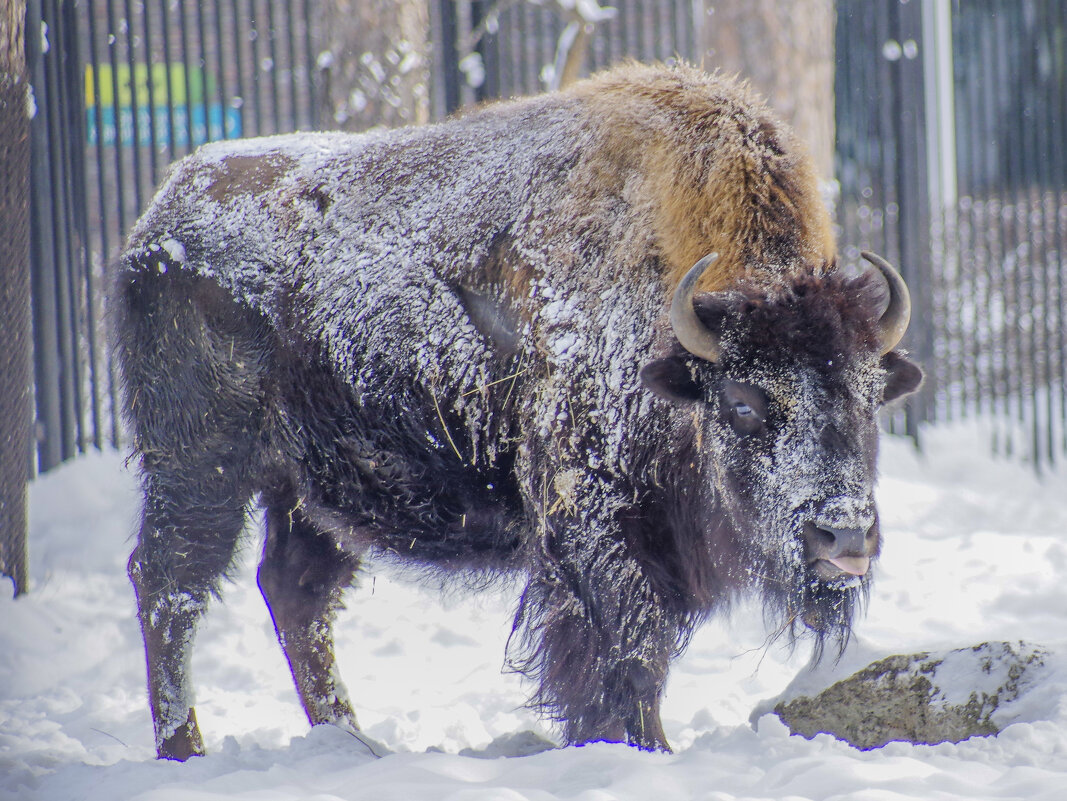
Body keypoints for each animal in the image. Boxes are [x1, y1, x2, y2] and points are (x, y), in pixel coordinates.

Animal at [112, 61, 921, 759]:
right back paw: (186, 749)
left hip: (309, 489)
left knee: (295, 594)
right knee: (171, 586)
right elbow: (628, 652)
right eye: (745, 402)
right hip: (200, 469)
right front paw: (639, 747)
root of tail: (159, 213)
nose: (843, 535)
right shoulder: (596, 526)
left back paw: (353, 743)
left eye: (868, 396)